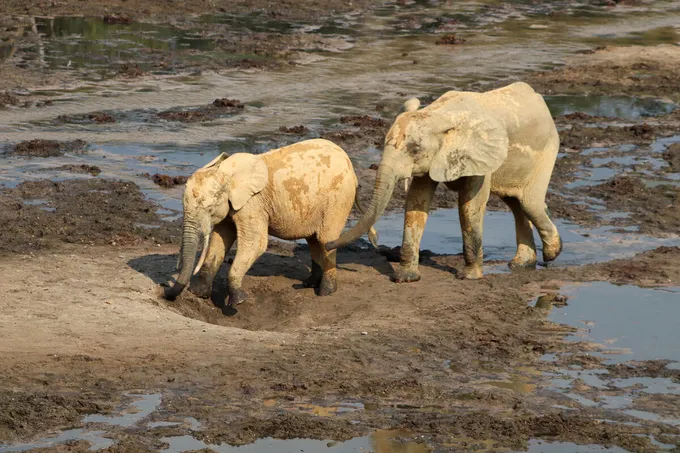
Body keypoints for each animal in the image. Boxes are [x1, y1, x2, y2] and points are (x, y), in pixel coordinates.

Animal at [164, 138, 377, 305]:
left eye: (208, 209)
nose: (167, 292)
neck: (225, 171)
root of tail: (350, 165)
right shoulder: (232, 205)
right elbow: (220, 240)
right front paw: (199, 294)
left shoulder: (252, 204)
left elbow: (255, 243)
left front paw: (238, 301)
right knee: (314, 240)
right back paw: (308, 284)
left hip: (338, 199)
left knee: (326, 239)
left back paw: (325, 291)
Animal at [326, 82, 562, 282]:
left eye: (415, 149)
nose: (328, 244)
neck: (438, 115)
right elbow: (417, 202)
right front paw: (406, 278)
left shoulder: (480, 155)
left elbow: (469, 206)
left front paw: (469, 277)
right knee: (516, 203)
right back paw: (522, 264)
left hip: (548, 149)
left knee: (529, 203)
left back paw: (552, 253)